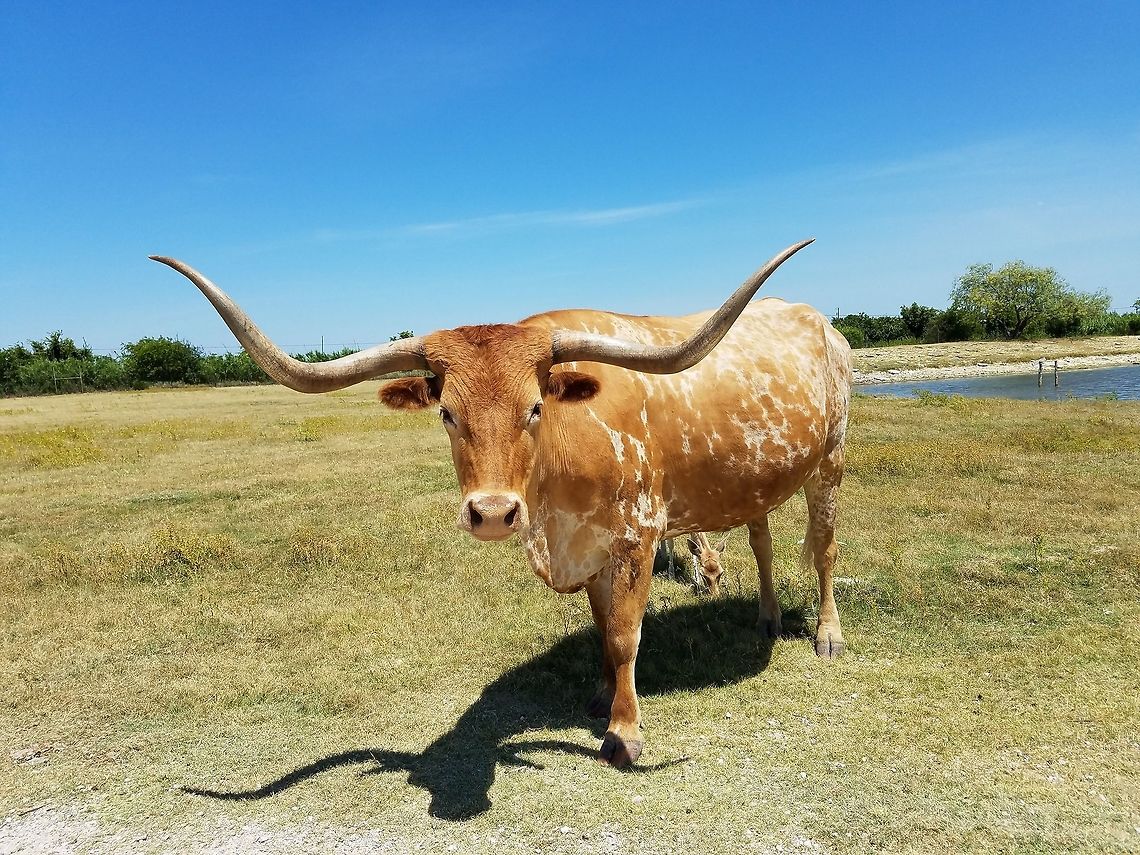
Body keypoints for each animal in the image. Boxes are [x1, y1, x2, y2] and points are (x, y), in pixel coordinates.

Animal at [150, 238, 852, 769]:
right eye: (446, 412)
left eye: (536, 407)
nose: (491, 513)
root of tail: (823, 323)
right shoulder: (586, 546)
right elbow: (602, 628)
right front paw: (600, 698)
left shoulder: (637, 535)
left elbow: (625, 635)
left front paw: (624, 733)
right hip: (756, 476)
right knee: (761, 537)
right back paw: (766, 618)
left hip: (831, 461)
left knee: (822, 549)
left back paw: (826, 636)